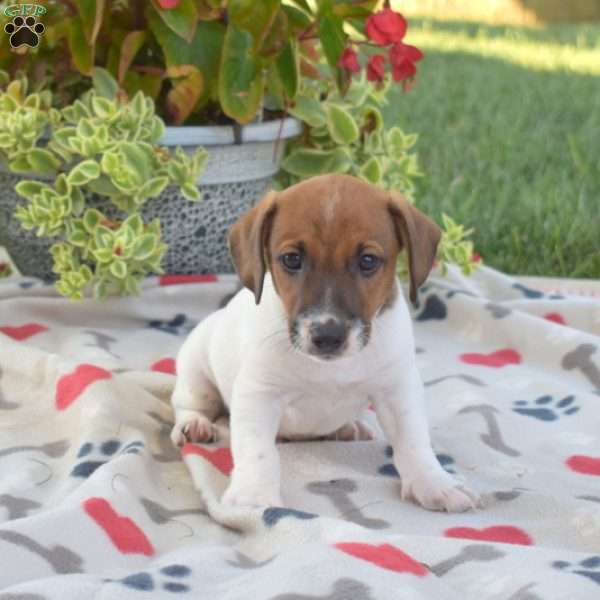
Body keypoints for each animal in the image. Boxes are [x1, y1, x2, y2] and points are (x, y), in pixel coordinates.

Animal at [171, 172, 480, 510]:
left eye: (368, 260)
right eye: (291, 259)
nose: (327, 336)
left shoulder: (397, 390)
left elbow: (413, 440)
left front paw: (433, 481)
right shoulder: (259, 394)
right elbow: (257, 452)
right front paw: (254, 497)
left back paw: (348, 427)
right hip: (196, 374)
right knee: (188, 404)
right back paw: (195, 424)